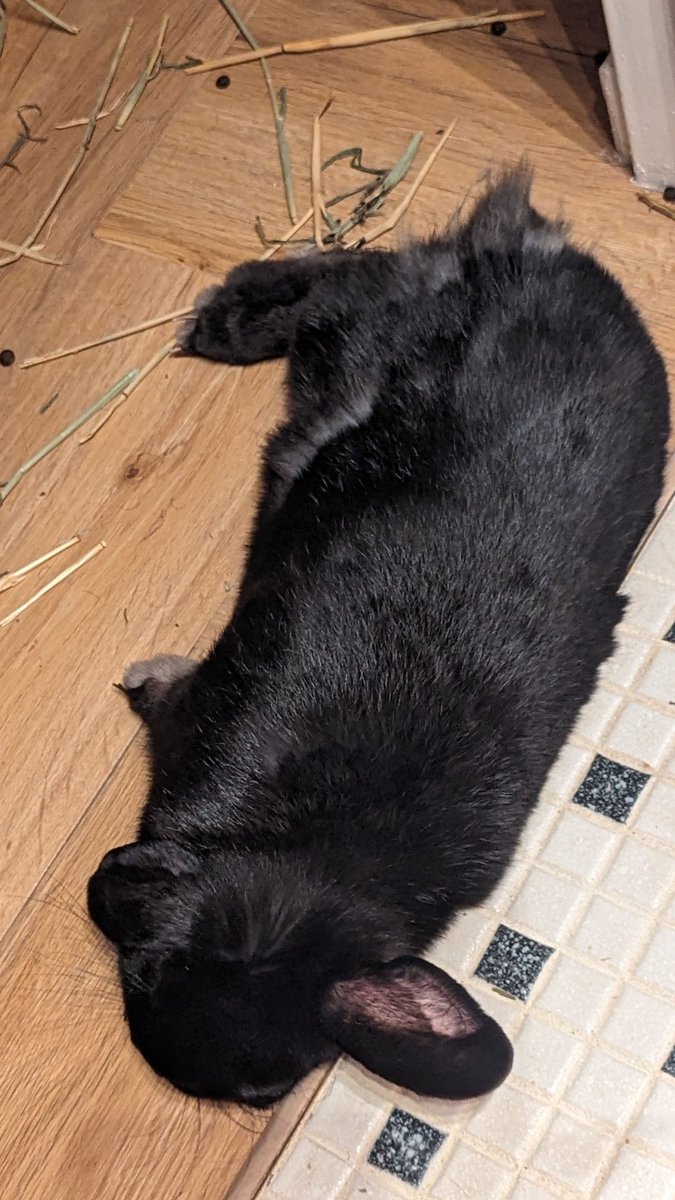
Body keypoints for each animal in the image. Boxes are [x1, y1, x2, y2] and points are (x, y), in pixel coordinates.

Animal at [88, 166, 670, 1109]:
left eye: (262, 1095)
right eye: (147, 972)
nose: (102, 885)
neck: (305, 854)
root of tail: (532, 251)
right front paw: (145, 680)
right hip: (362, 335)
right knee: (348, 275)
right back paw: (223, 321)